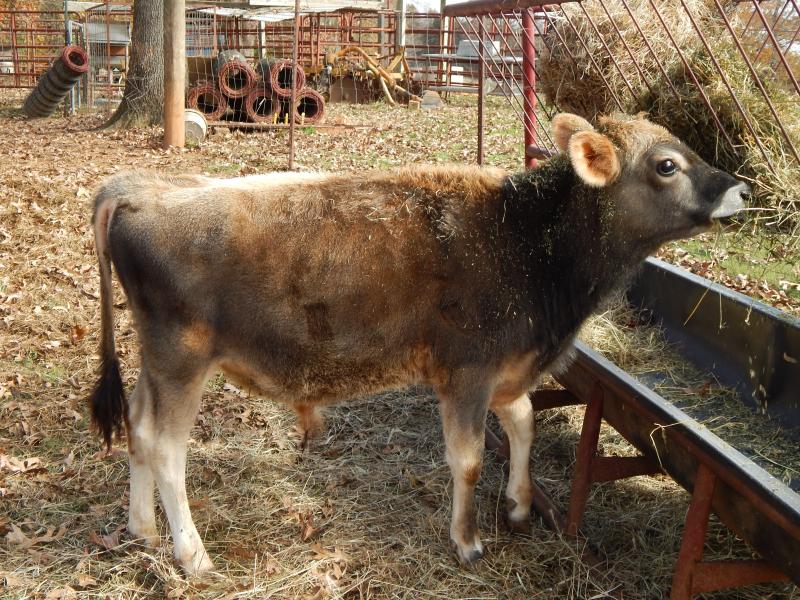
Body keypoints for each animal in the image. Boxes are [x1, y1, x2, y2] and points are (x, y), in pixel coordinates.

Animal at [89, 113, 748, 574]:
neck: (524, 238)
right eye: (667, 164)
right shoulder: (467, 374)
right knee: (166, 449)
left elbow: (524, 422)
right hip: (182, 361)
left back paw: (143, 529)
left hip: (155, 363)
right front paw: (469, 541)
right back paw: (192, 554)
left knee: (138, 430)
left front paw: (518, 505)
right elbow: (470, 458)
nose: (738, 189)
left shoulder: (504, 369)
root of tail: (140, 188)